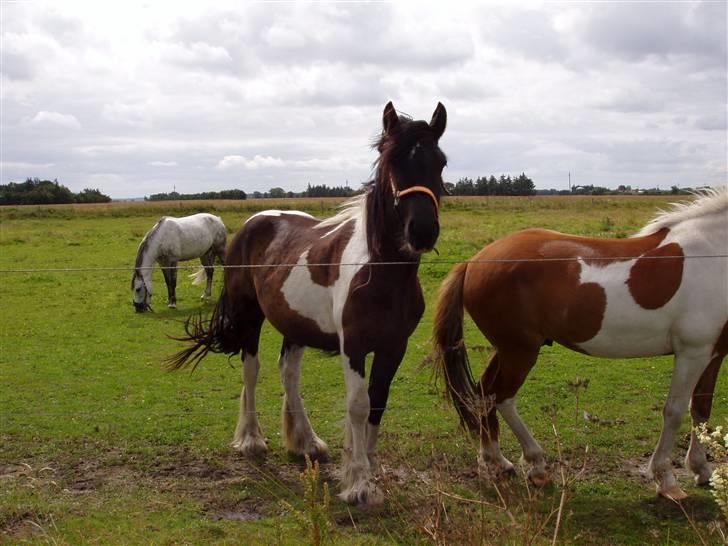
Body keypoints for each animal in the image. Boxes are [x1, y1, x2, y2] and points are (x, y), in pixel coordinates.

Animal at [166, 101, 448, 505]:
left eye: (440, 162)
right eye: (392, 161)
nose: (422, 230)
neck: (380, 275)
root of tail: (254, 222)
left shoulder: (394, 346)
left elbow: (378, 401)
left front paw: (372, 468)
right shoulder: (354, 347)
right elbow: (358, 405)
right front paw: (358, 482)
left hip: (295, 325)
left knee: (289, 373)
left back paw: (306, 443)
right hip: (250, 318)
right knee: (251, 371)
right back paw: (252, 440)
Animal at [432, 186, 727, 500]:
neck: (715, 254)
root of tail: (474, 261)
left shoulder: (712, 352)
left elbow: (701, 410)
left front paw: (702, 470)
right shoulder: (692, 352)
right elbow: (674, 411)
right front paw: (666, 479)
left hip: (508, 350)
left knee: (484, 391)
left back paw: (496, 461)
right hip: (520, 352)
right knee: (501, 397)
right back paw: (536, 465)